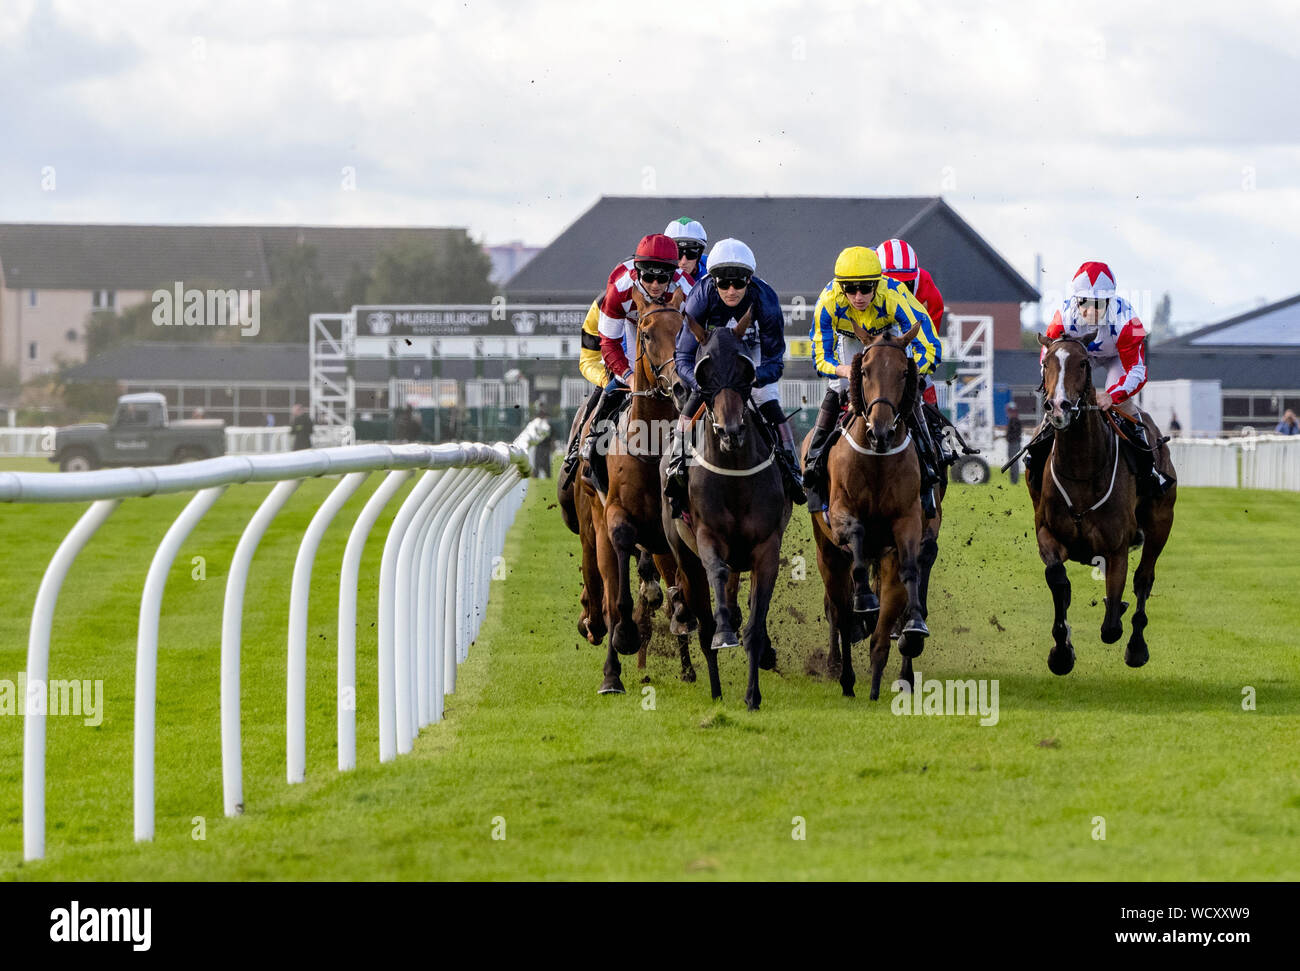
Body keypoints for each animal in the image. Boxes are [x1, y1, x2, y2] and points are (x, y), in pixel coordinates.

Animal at [579, 284, 702, 696]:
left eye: (684, 330)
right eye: (646, 335)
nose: (681, 386)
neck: (649, 446)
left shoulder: (673, 525)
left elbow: (680, 590)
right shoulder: (615, 516)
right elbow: (618, 592)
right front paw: (623, 641)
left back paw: (686, 663)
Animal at [660, 315, 790, 712]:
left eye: (744, 367)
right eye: (705, 370)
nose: (731, 431)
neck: (734, 473)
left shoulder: (767, 547)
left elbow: (755, 625)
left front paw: (752, 695)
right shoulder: (707, 538)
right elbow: (716, 576)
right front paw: (724, 634)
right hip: (683, 555)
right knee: (702, 620)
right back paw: (715, 688)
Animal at [800, 322, 935, 701]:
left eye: (904, 372)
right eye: (865, 371)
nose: (881, 432)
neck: (876, 461)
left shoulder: (908, 522)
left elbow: (909, 570)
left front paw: (913, 626)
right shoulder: (841, 514)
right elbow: (857, 541)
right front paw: (864, 601)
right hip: (827, 553)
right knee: (838, 610)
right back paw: (842, 672)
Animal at [1034, 330, 1180, 670]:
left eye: (1084, 363)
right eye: (1047, 363)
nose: (1058, 407)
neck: (1081, 470)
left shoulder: (1117, 548)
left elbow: (1112, 623)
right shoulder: (1047, 532)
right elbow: (1058, 581)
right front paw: (1062, 651)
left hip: (1161, 523)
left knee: (1144, 579)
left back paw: (1137, 647)